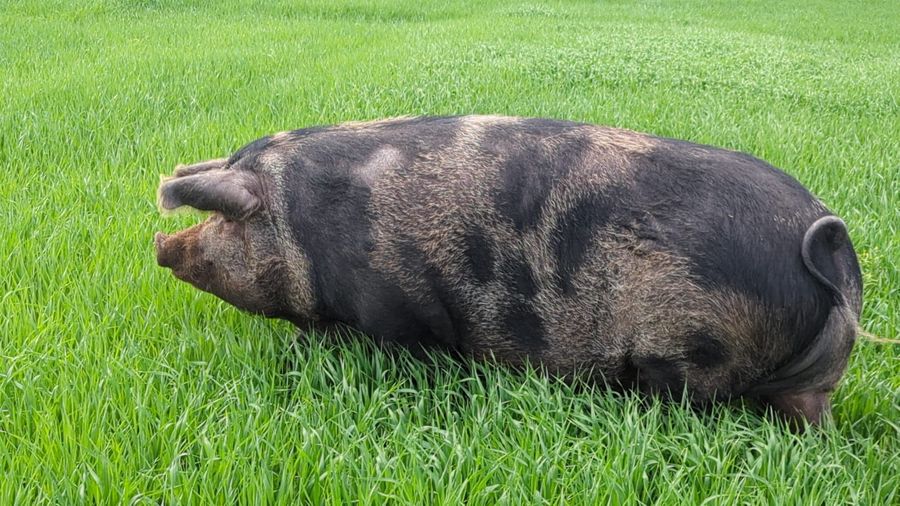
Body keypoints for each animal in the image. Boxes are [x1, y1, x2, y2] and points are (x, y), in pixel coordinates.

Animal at [154, 116, 863, 426]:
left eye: (227, 222)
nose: (161, 245)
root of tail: (829, 247)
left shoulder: (399, 315)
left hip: (688, 351)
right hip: (811, 379)